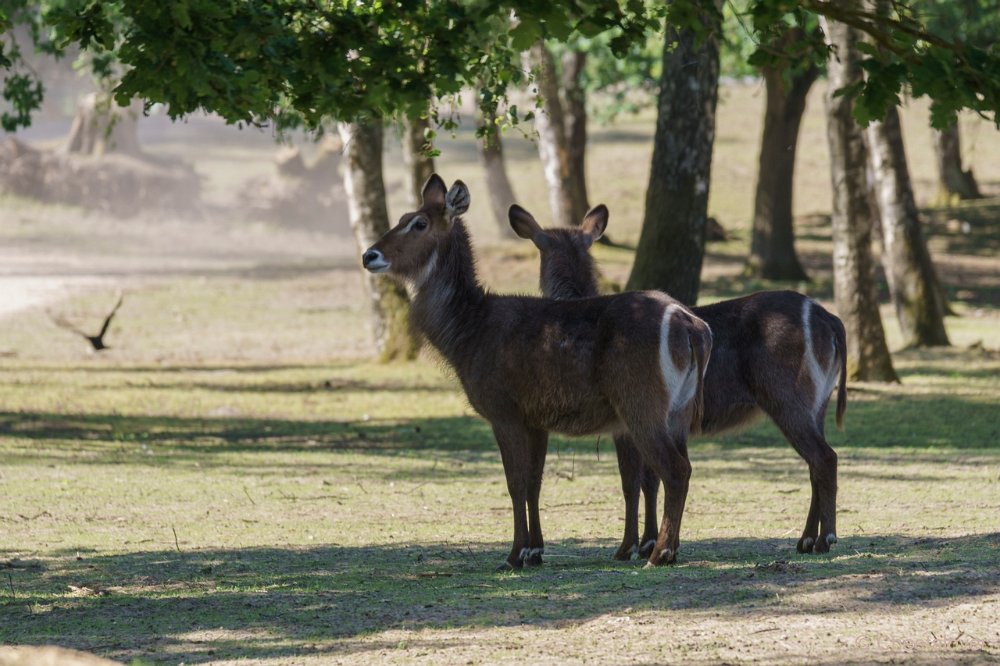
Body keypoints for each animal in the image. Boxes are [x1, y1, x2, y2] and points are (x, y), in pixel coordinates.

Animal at [364, 174, 716, 568]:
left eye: (419, 223)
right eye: (402, 216)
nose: (369, 255)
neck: (468, 334)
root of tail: (693, 327)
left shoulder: (503, 410)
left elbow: (515, 483)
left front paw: (513, 555)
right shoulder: (536, 418)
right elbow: (535, 482)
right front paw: (534, 551)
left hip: (640, 404)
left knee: (675, 469)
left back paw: (659, 553)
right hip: (679, 410)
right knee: (681, 466)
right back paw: (668, 549)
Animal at [512, 205, 848, 556]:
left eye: (540, 247)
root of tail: (830, 319)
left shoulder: (625, 426)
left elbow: (633, 482)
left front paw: (629, 547)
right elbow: (651, 480)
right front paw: (649, 541)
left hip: (786, 399)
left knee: (824, 458)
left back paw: (824, 538)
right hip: (818, 405)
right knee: (816, 463)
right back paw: (807, 539)